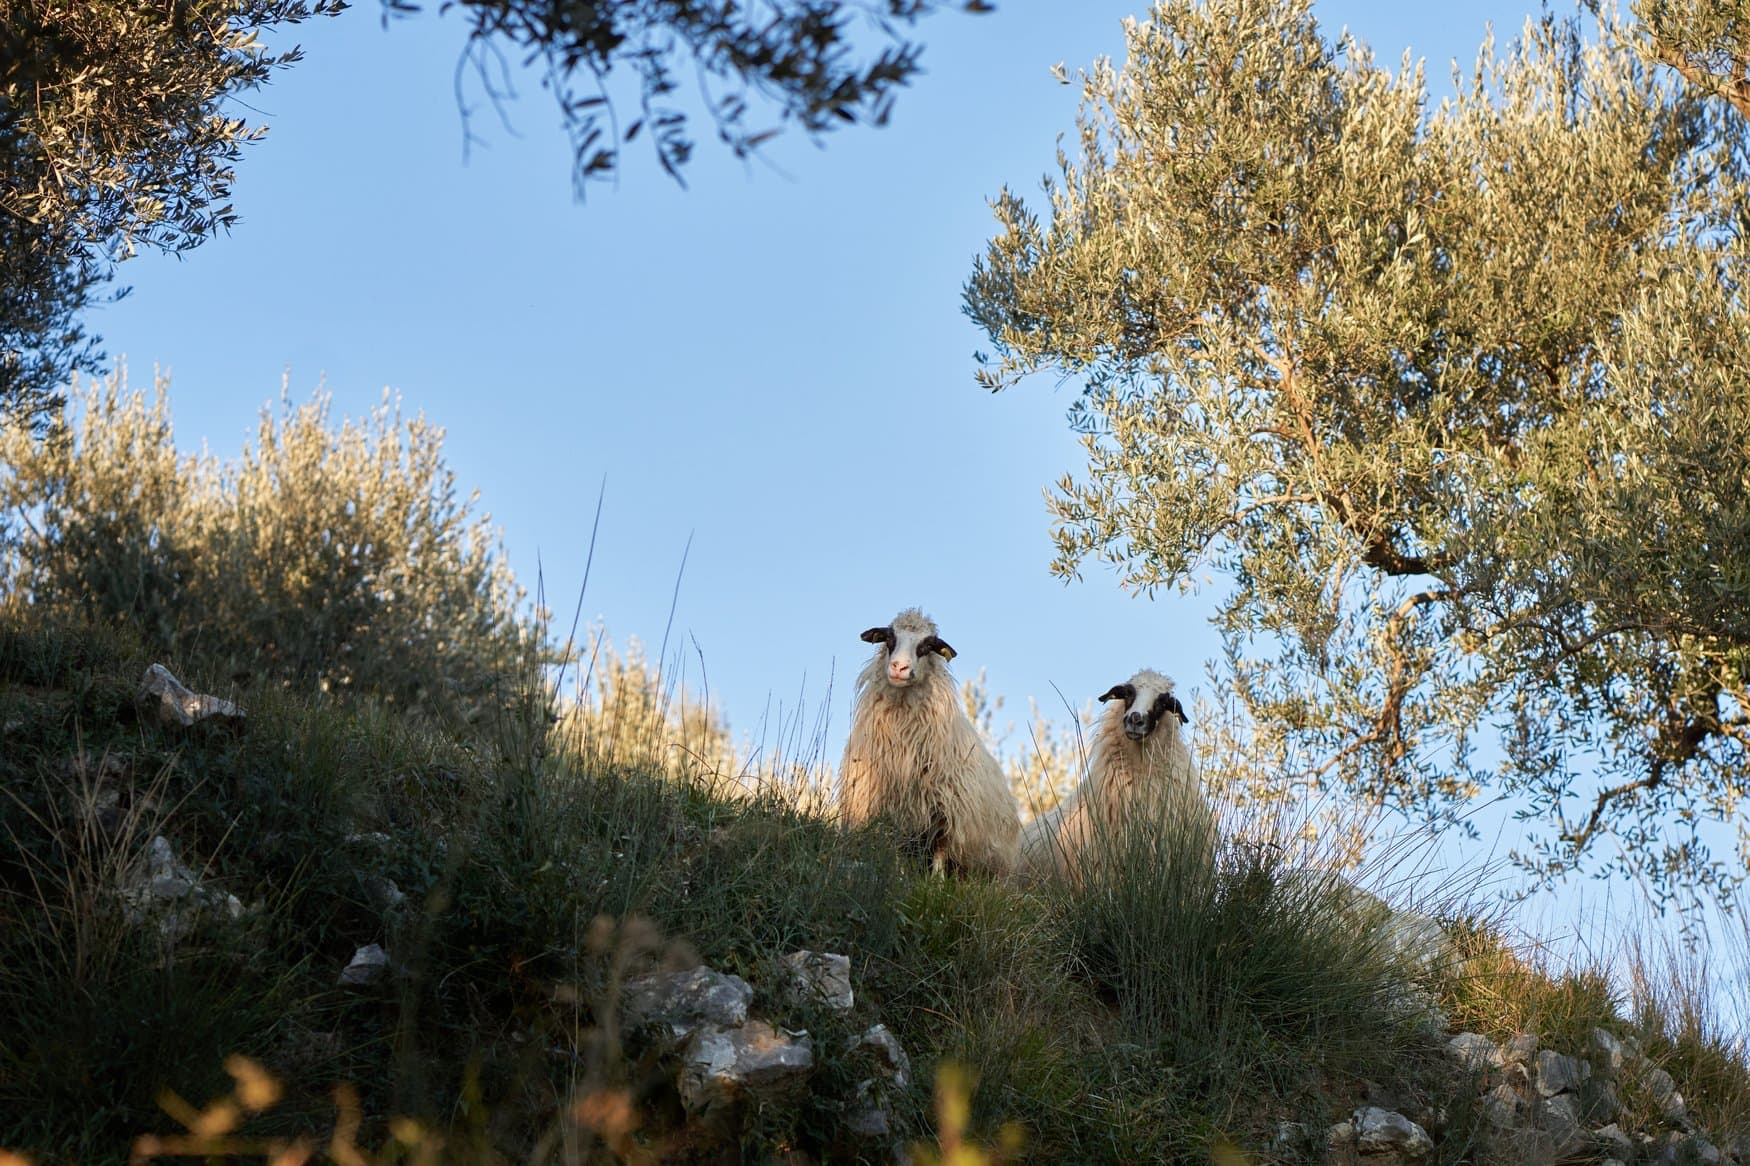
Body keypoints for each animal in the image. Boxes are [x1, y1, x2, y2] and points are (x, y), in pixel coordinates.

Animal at [838, 608, 1020, 877]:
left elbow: (941, 850)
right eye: (890, 639)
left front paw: (937, 881)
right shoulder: (890, 806)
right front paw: (900, 875)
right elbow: (896, 847)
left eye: (927, 646)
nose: (899, 667)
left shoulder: (948, 806)